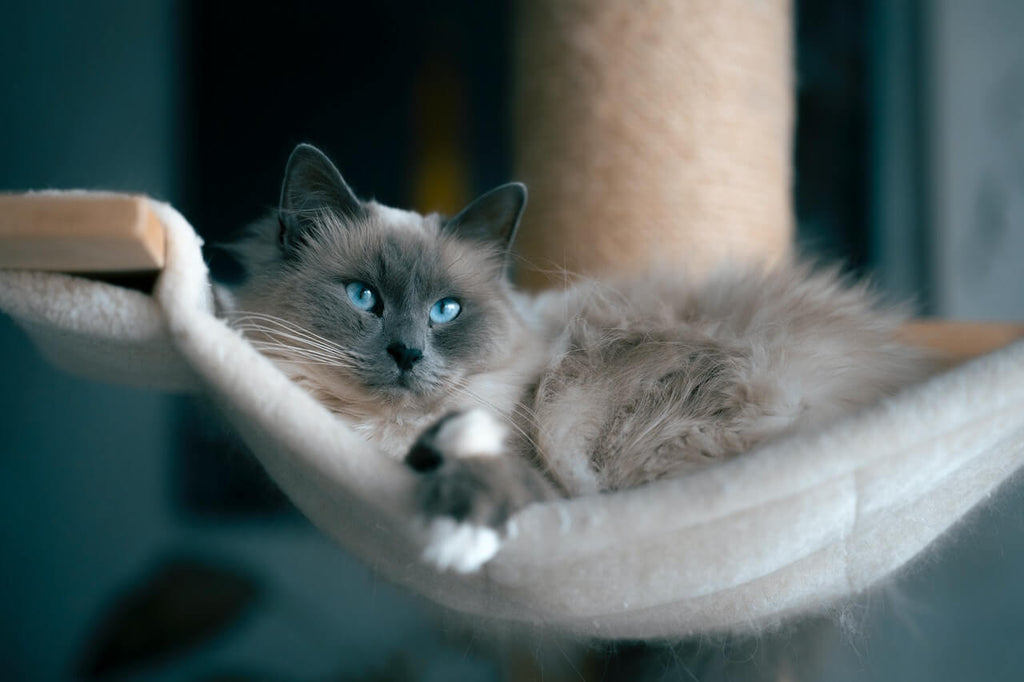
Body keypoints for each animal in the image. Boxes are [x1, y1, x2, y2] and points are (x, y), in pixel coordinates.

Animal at [218, 143, 937, 573]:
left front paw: (456, 537)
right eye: (364, 297)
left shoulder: (532, 468)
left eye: (446, 310)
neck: (382, 437)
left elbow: (475, 465)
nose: (408, 352)